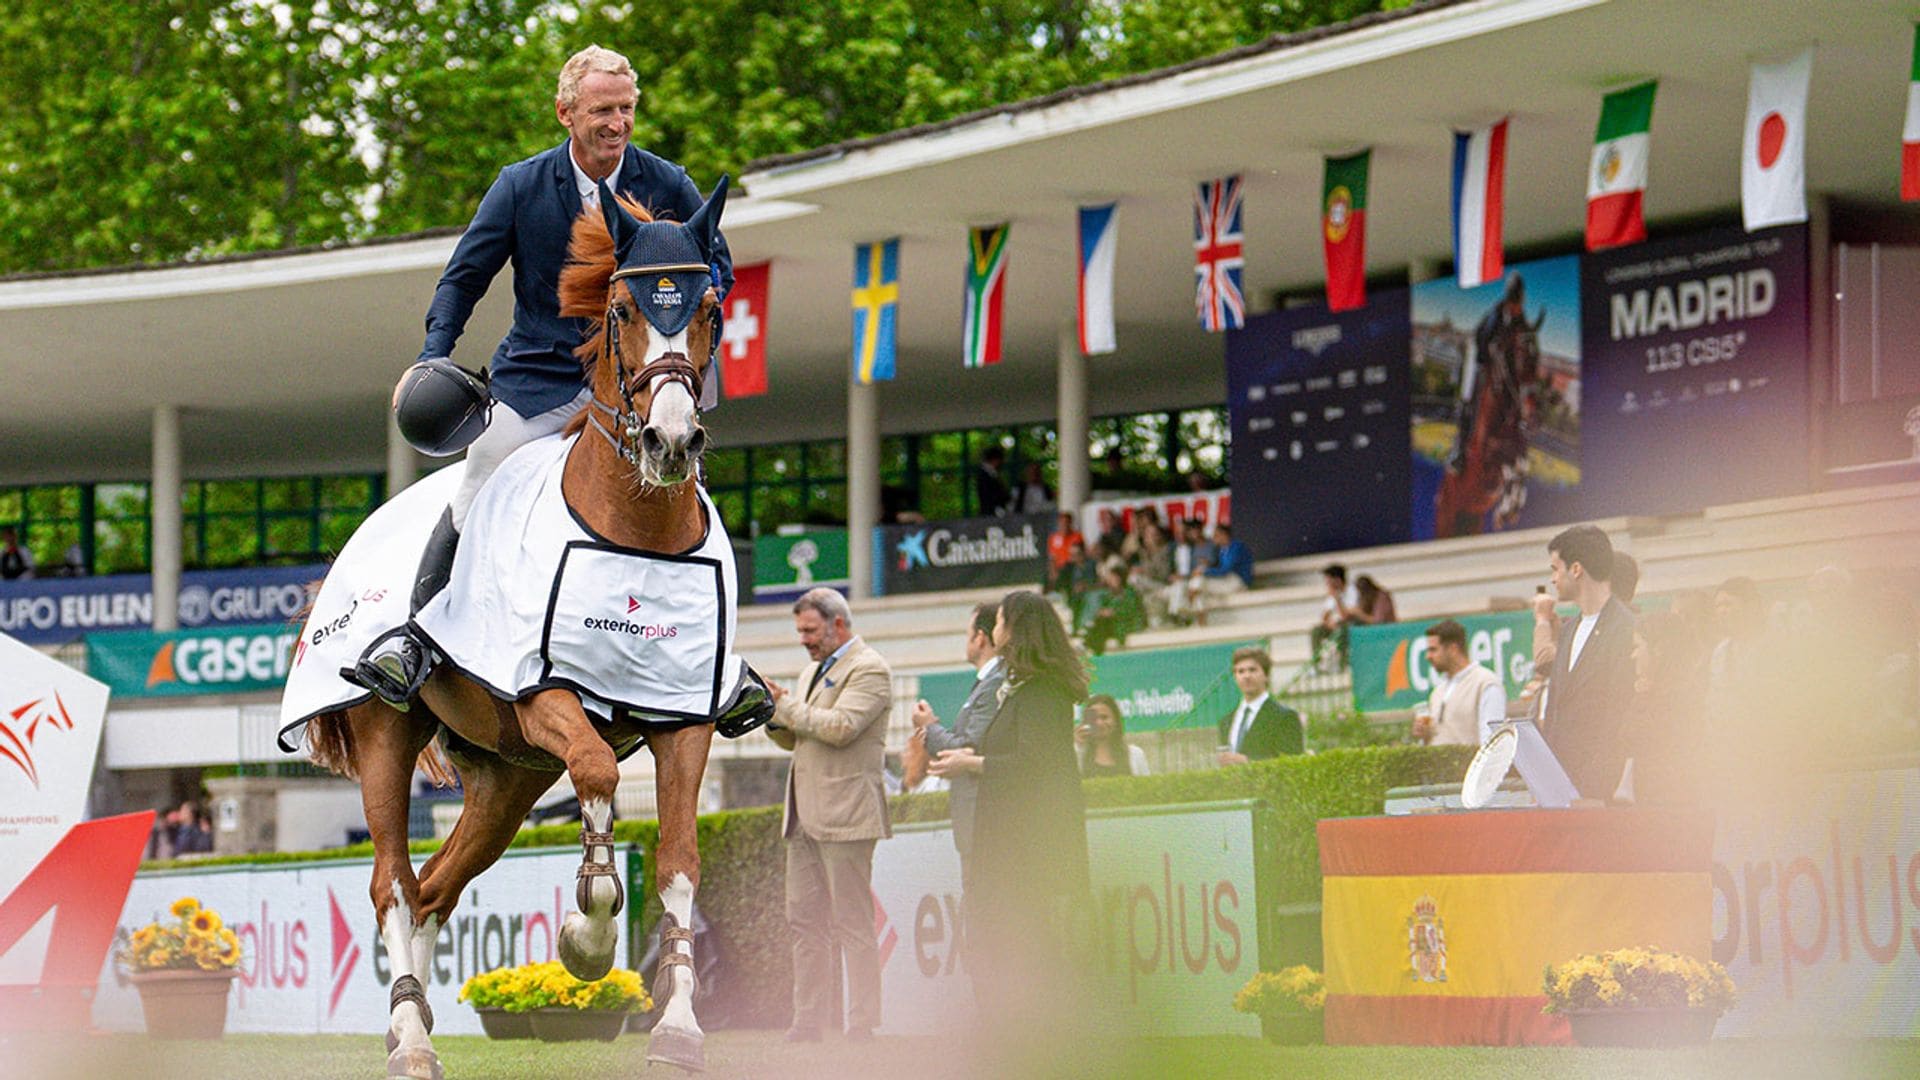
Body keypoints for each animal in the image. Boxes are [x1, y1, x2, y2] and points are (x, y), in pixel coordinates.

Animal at [307, 180, 733, 1068]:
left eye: (710, 309)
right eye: (620, 308)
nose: (671, 443)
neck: (636, 531)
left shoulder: (685, 718)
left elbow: (679, 862)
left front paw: (678, 1027)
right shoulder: (545, 697)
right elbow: (600, 777)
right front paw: (586, 939)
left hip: (509, 780)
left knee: (435, 888)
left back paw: (412, 1016)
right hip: (387, 735)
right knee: (393, 884)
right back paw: (410, 1041)